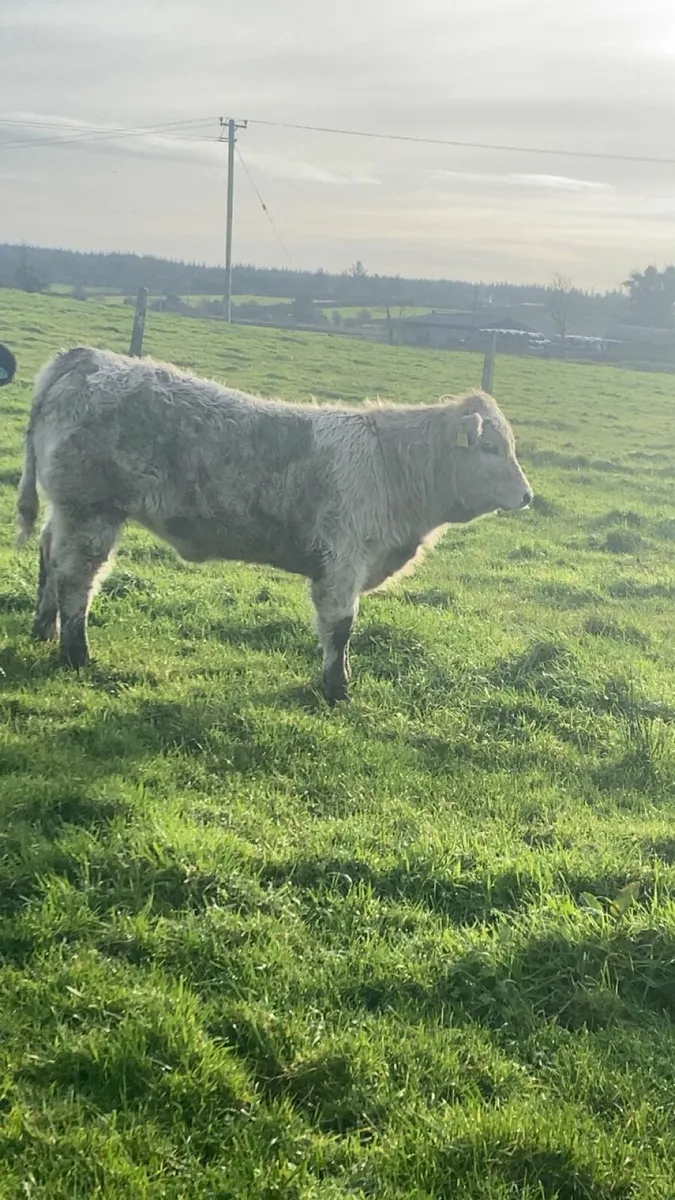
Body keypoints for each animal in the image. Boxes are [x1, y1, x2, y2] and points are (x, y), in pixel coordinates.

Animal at [16, 346, 532, 702]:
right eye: (491, 448)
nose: (528, 496)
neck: (392, 465)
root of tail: (86, 357)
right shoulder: (343, 560)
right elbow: (340, 626)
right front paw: (337, 689)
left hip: (68, 509)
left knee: (49, 556)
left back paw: (44, 630)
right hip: (91, 509)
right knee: (76, 578)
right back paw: (77, 654)